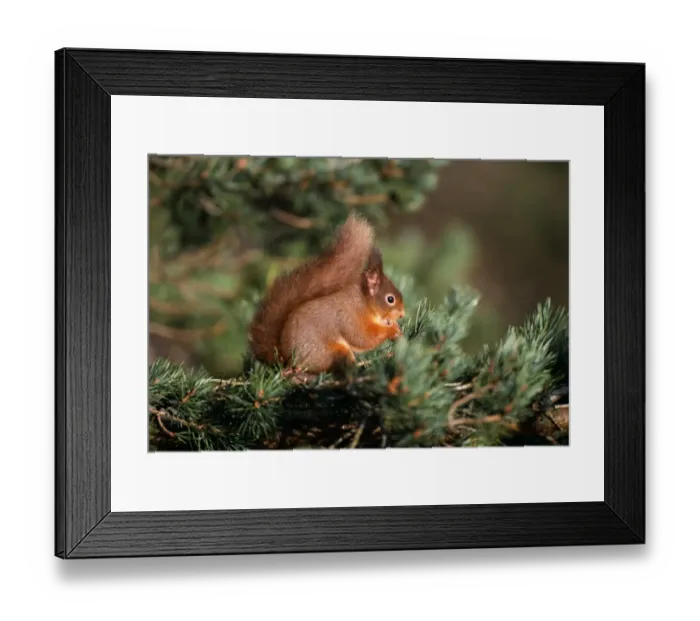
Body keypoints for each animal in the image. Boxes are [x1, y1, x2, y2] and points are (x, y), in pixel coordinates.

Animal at [248, 213, 405, 375]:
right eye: (390, 299)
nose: (402, 314)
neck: (364, 303)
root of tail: (286, 360)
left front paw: (396, 328)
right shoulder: (349, 318)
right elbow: (362, 338)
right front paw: (391, 330)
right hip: (324, 353)